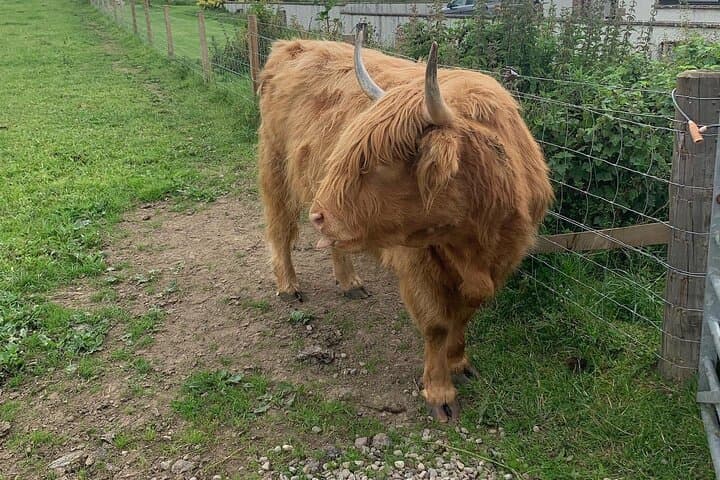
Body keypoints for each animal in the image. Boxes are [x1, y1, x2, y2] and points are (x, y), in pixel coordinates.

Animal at [257, 28, 553, 422]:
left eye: (382, 163)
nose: (319, 215)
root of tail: (291, 45)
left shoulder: (503, 258)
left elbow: (466, 314)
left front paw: (459, 362)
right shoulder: (417, 262)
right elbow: (437, 324)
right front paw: (440, 392)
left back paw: (350, 283)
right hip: (276, 168)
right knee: (280, 229)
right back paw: (288, 285)